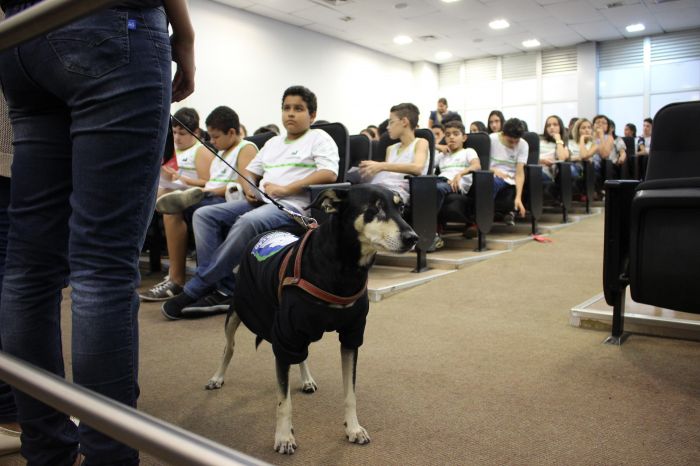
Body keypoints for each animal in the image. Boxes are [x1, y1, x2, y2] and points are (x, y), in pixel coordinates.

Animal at [206, 186, 416, 456]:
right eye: (374, 208)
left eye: (401, 207)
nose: (413, 238)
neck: (344, 270)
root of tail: (263, 234)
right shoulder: (285, 333)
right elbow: (283, 400)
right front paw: (284, 437)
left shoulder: (351, 336)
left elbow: (350, 393)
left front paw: (353, 428)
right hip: (239, 310)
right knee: (229, 347)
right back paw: (217, 377)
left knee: (300, 354)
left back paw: (306, 380)